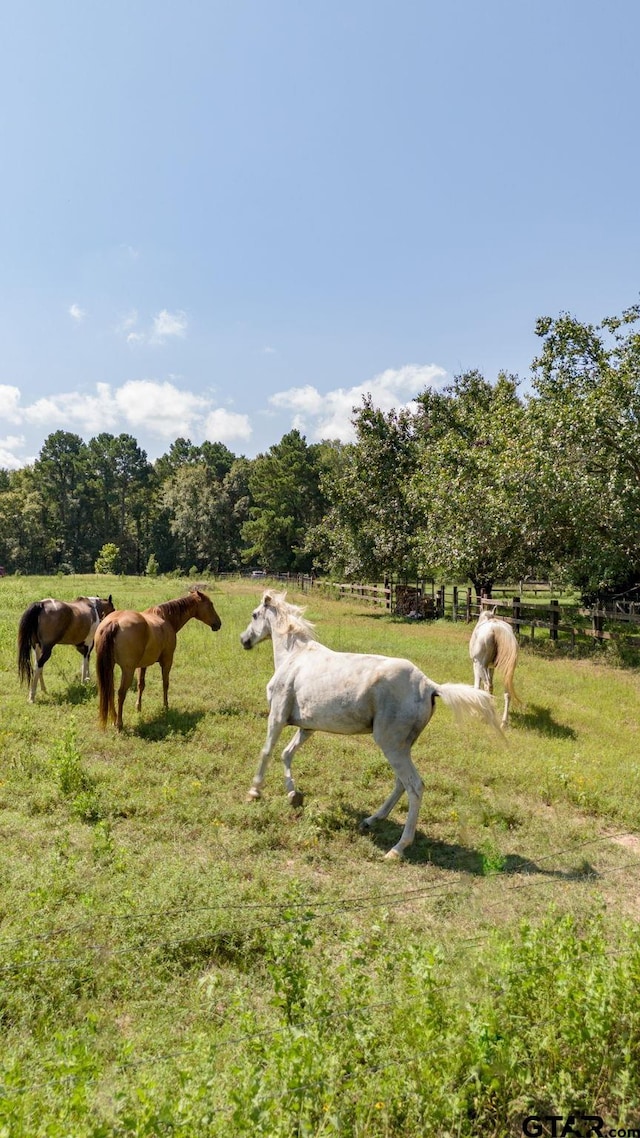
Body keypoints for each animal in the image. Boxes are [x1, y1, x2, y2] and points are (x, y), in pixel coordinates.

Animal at [94, 587, 222, 728]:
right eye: (210, 605)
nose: (218, 624)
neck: (166, 618)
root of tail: (114, 622)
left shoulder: (142, 665)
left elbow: (141, 685)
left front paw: (138, 707)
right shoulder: (167, 661)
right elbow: (165, 684)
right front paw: (166, 707)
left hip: (110, 667)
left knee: (109, 691)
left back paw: (114, 719)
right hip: (128, 670)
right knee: (121, 693)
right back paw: (119, 723)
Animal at [239, 591, 498, 855]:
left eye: (254, 614)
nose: (244, 640)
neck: (294, 657)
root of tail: (429, 685)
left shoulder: (277, 715)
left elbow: (267, 751)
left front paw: (254, 792)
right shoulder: (307, 727)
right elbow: (287, 753)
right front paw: (293, 795)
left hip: (391, 745)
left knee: (415, 786)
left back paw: (397, 848)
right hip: (402, 747)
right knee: (401, 783)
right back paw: (371, 820)